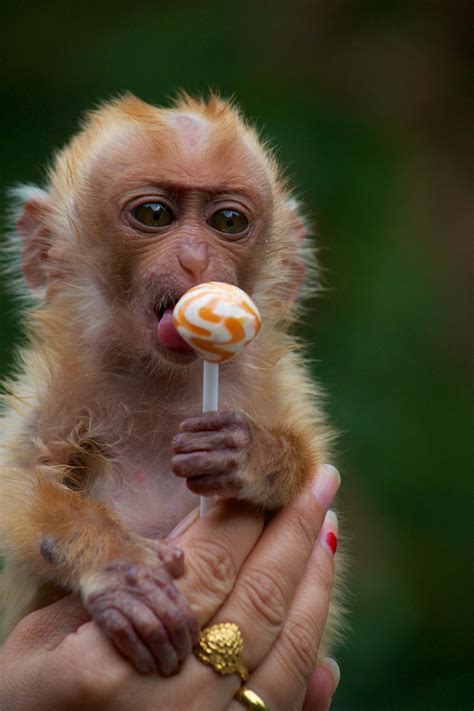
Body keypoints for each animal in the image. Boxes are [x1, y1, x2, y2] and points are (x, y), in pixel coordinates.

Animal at [0, 92, 336, 676]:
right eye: (154, 215)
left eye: (228, 221)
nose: (195, 258)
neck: (163, 379)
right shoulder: (51, 402)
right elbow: (10, 487)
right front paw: (115, 564)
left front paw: (249, 454)